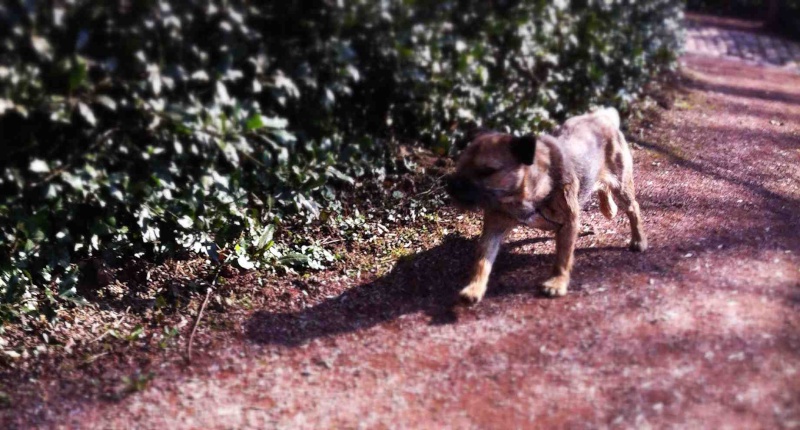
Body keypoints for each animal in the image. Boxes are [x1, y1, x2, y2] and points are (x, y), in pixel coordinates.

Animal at [446, 107, 648, 302]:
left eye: (487, 171)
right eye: (460, 165)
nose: (451, 185)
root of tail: (601, 116)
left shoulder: (569, 222)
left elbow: (563, 258)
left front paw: (557, 282)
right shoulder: (494, 227)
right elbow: (483, 259)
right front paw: (475, 287)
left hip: (622, 185)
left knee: (633, 209)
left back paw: (638, 239)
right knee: (603, 189)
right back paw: (609, 208)